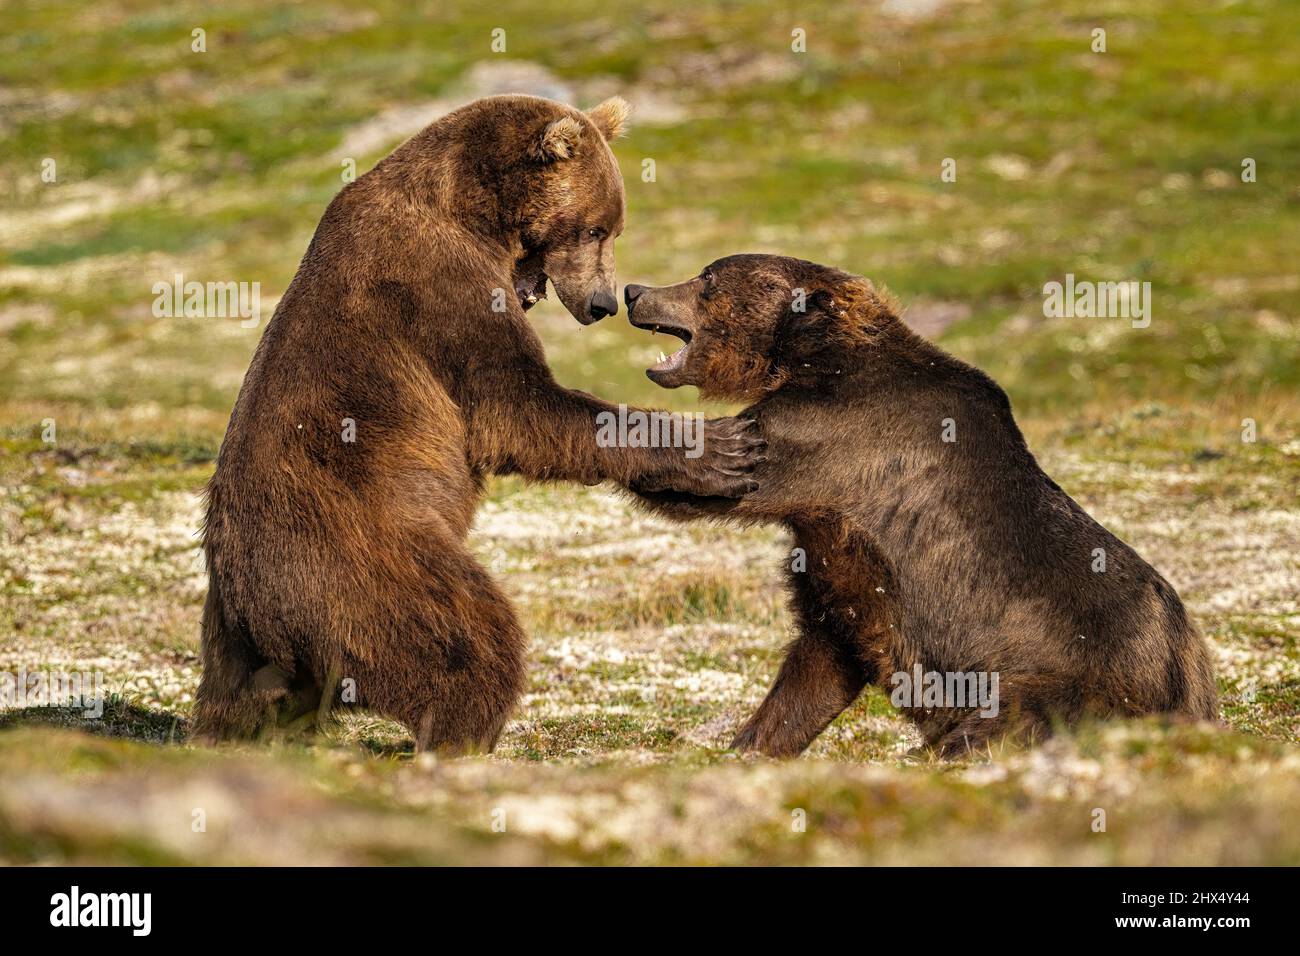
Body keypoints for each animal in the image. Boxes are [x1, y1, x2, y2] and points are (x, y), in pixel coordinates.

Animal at [192, 98, 759, 754]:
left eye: (613, 229)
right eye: (595, 228)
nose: (602, 304)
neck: (476, 211)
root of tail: (246, 594)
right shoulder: (442, 285)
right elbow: (513, 409)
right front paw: (717, 446)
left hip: (234, 636)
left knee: (240, 698)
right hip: (360, 549)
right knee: (463, 630)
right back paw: (465, 731)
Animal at [624, 256, 1222, 764]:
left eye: (706, 278)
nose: (634, 291)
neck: (811, 356)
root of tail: (1190, 668)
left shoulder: (831, 438)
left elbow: (715, 474)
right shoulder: (844, 570)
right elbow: (819, 660)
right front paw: (753, 744)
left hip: (1060, 679)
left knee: (998, 727)